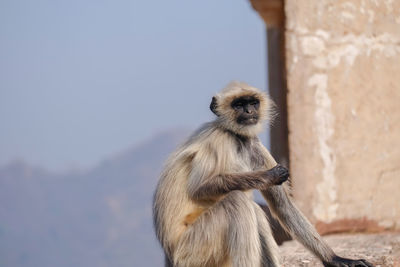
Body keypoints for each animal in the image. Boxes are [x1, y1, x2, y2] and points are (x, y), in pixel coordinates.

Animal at [152, 82, 372, 267]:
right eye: (239, 104)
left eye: (253, 103)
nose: (249, 111)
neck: (237, 137)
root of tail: (171, 256)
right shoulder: (218, 139)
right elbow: (200, 188)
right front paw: (268, 176)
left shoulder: (253, 144)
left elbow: (284, 206)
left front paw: (334, 258)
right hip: (193, 250)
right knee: (237, 202)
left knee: (255, 212)